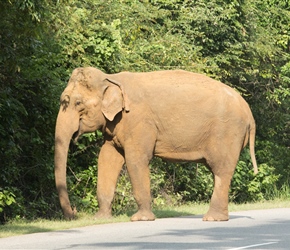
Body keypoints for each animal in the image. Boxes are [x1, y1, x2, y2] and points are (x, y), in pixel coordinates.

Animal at [55, 66, 258, 221]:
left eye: (77, 103)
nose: (74, 213)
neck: (111, 78)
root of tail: (249, 113)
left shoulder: (139, 121)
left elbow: (136, 160)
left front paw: (140, 219)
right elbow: (107, 157)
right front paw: (101, 218)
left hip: (227, 131)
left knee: (221, 170)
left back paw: (212, 219)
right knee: (218, 171)